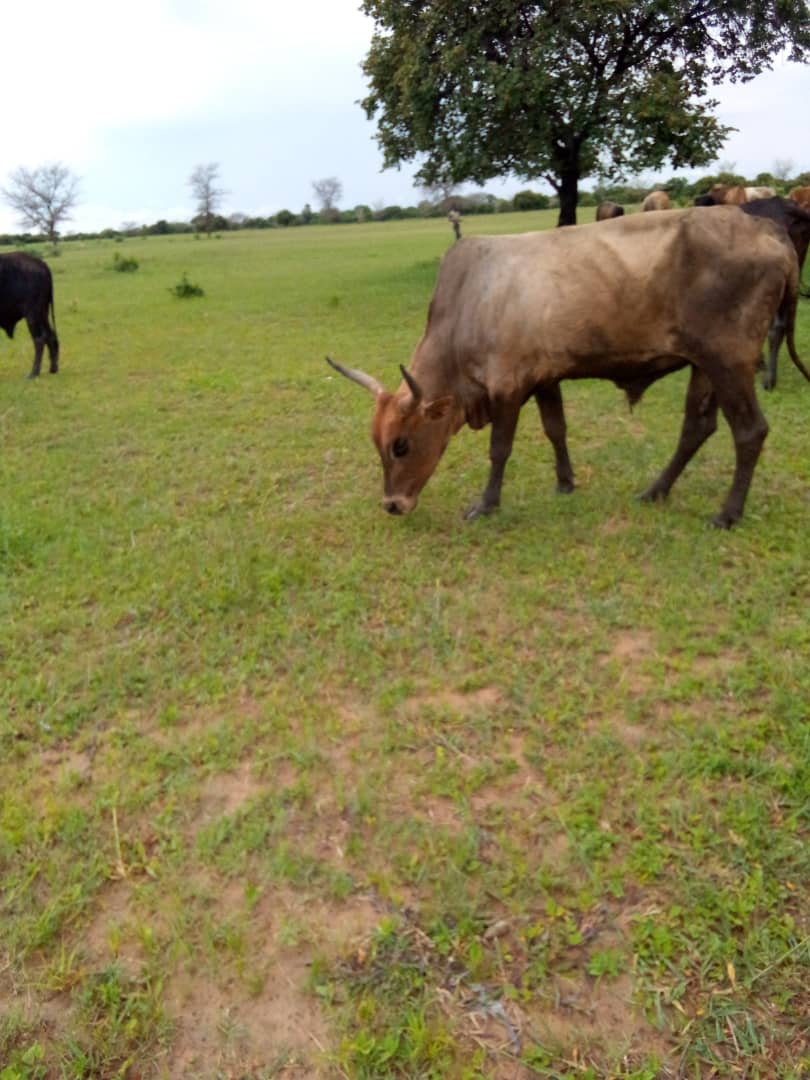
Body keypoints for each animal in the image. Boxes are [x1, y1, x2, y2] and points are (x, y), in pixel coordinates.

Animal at [328, 207, 803, 529]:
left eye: (401, 445)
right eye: (378, 443)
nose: (393, 505)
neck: (469, 304)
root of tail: (768, 230)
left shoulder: (507, 387)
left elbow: (500, 449)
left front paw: (486, 504)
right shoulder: (544, 378)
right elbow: (556, 429)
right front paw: (565, 483)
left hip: (730, 361)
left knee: (750, 431)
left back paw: (726, 514)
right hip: (703, 364)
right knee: (697, 428)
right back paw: (655, 491)